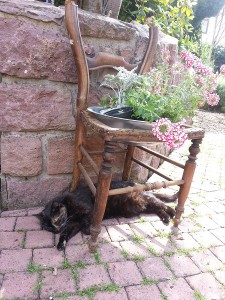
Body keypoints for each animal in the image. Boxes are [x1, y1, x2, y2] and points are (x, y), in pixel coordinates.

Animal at [37, 180, 177, 251]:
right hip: (143, 206)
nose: (56, 230)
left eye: (57, 221)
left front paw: (88, 231)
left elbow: (87, 222)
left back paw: (173, 213)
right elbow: (65, 233)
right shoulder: (73, 224)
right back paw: (166, 218)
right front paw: (61, 244)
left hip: (143, 200)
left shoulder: (89, 211)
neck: (70, 212)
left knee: (163, 205)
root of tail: (138, 185)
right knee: (158, 208)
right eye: (49, 227)